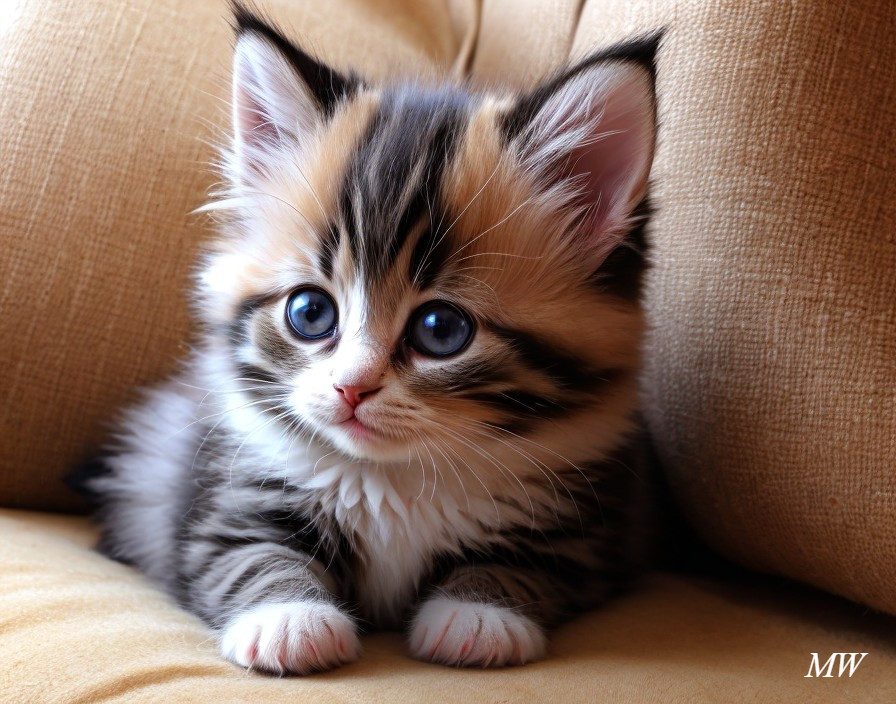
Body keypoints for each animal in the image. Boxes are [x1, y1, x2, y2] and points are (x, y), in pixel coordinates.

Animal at [75, 5, 656, 676]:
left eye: (441, 330)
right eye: (310, 313)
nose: (351, 388)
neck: (393, 480)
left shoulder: (584, 526)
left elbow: (526, 565)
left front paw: (479, 615)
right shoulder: (223, 501)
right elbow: (250, 554)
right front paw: (289, 620)